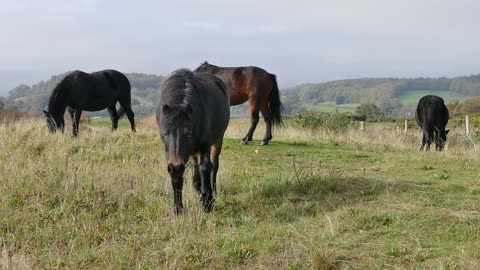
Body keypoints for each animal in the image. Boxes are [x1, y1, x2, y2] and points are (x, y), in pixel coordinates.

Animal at [155, 68, 228, 214]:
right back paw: (197, 187)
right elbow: (177, 175)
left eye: (188, 133)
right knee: (195, 165)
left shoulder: (205, 145)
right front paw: (178, 208)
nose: (177, 164)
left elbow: (205, 167)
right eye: (165, 133)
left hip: (218, 140)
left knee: (214, 165)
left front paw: (207, 202)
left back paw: (212, 191)